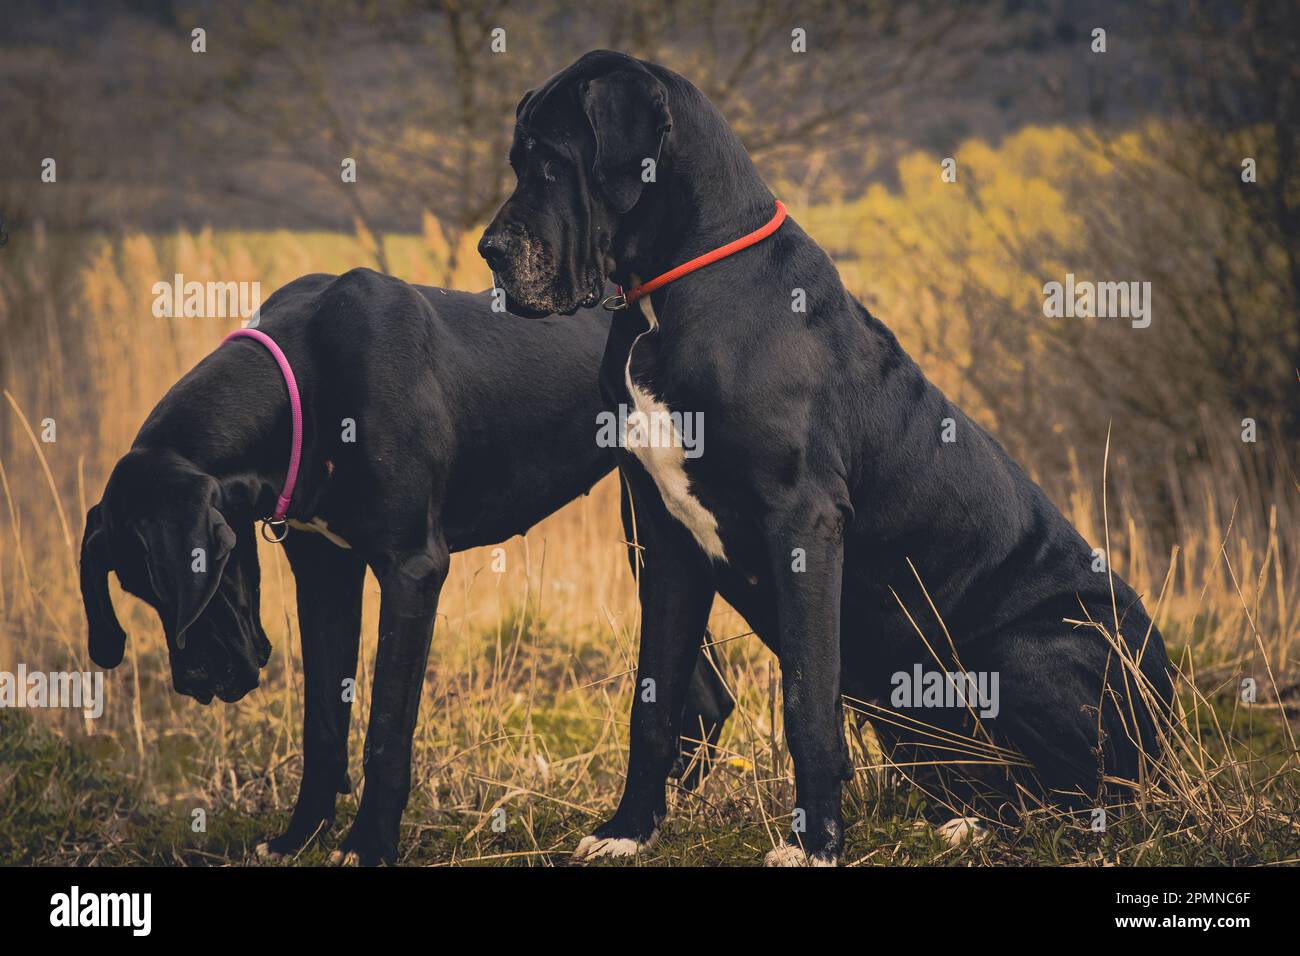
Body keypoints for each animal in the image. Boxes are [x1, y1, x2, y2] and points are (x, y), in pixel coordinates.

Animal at [78, 269, 733, 868]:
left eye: (197, 576)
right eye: (138, 592)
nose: (194, 680)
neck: (303, 382)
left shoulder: (411, 568)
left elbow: (386, 731)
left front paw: (368, 845)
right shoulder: (324, 571)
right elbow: (323, 723)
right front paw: (299, 838)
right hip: (650, 532)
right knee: (708, 695)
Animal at [480, 48, 1180, 863]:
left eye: (552, 164)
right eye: (520, 162)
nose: (490, 253)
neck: (674, 291)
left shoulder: (803, 524)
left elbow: (807, 706)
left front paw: (813, 844)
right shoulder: (665, 535)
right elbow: (653, 702)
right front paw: (628, 831)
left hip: (1030, 650)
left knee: (1099, 790)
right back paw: (970, 820)